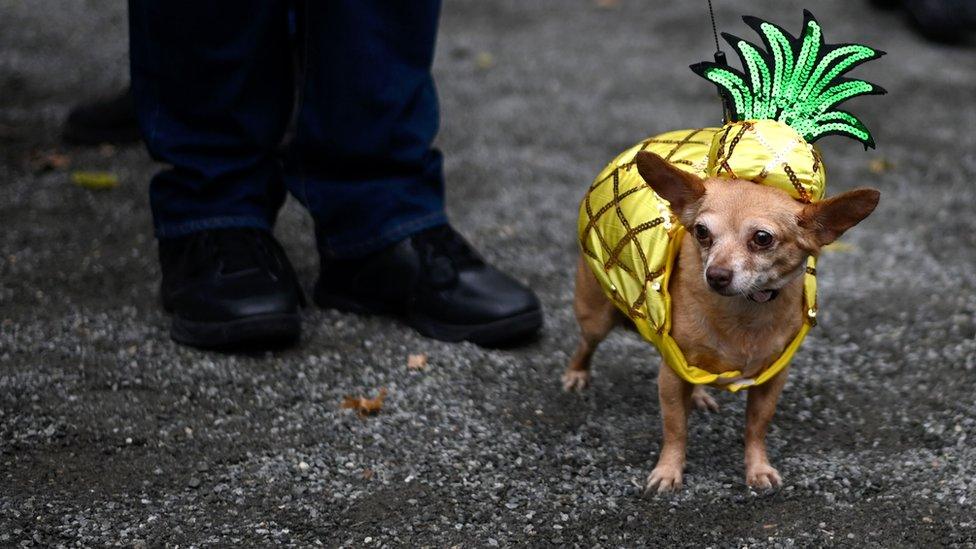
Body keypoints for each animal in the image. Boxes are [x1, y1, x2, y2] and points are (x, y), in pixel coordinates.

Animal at [560, 151, 880, 492]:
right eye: (701, 232)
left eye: (762, 238)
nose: (715, 275)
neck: (745, 311)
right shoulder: (671, 373)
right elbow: (675, 428)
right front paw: (668, 470)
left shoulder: (772, 379)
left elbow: (756, 427)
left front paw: (757, 468)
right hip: (597, 316)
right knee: (585, 344)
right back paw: (576, 374)